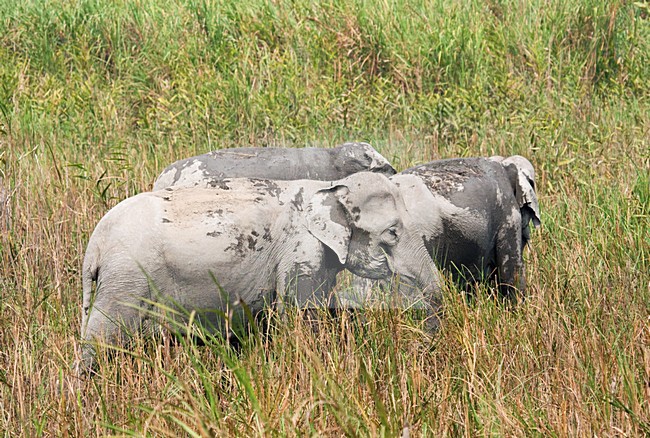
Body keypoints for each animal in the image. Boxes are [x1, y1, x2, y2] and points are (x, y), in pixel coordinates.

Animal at [79, 172, 441, 372]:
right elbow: (301, 316)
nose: (428, 341)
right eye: (392, 233)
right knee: (103, 337)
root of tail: (94, 244)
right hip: (126, 278)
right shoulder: (300, 250)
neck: (327, 187)